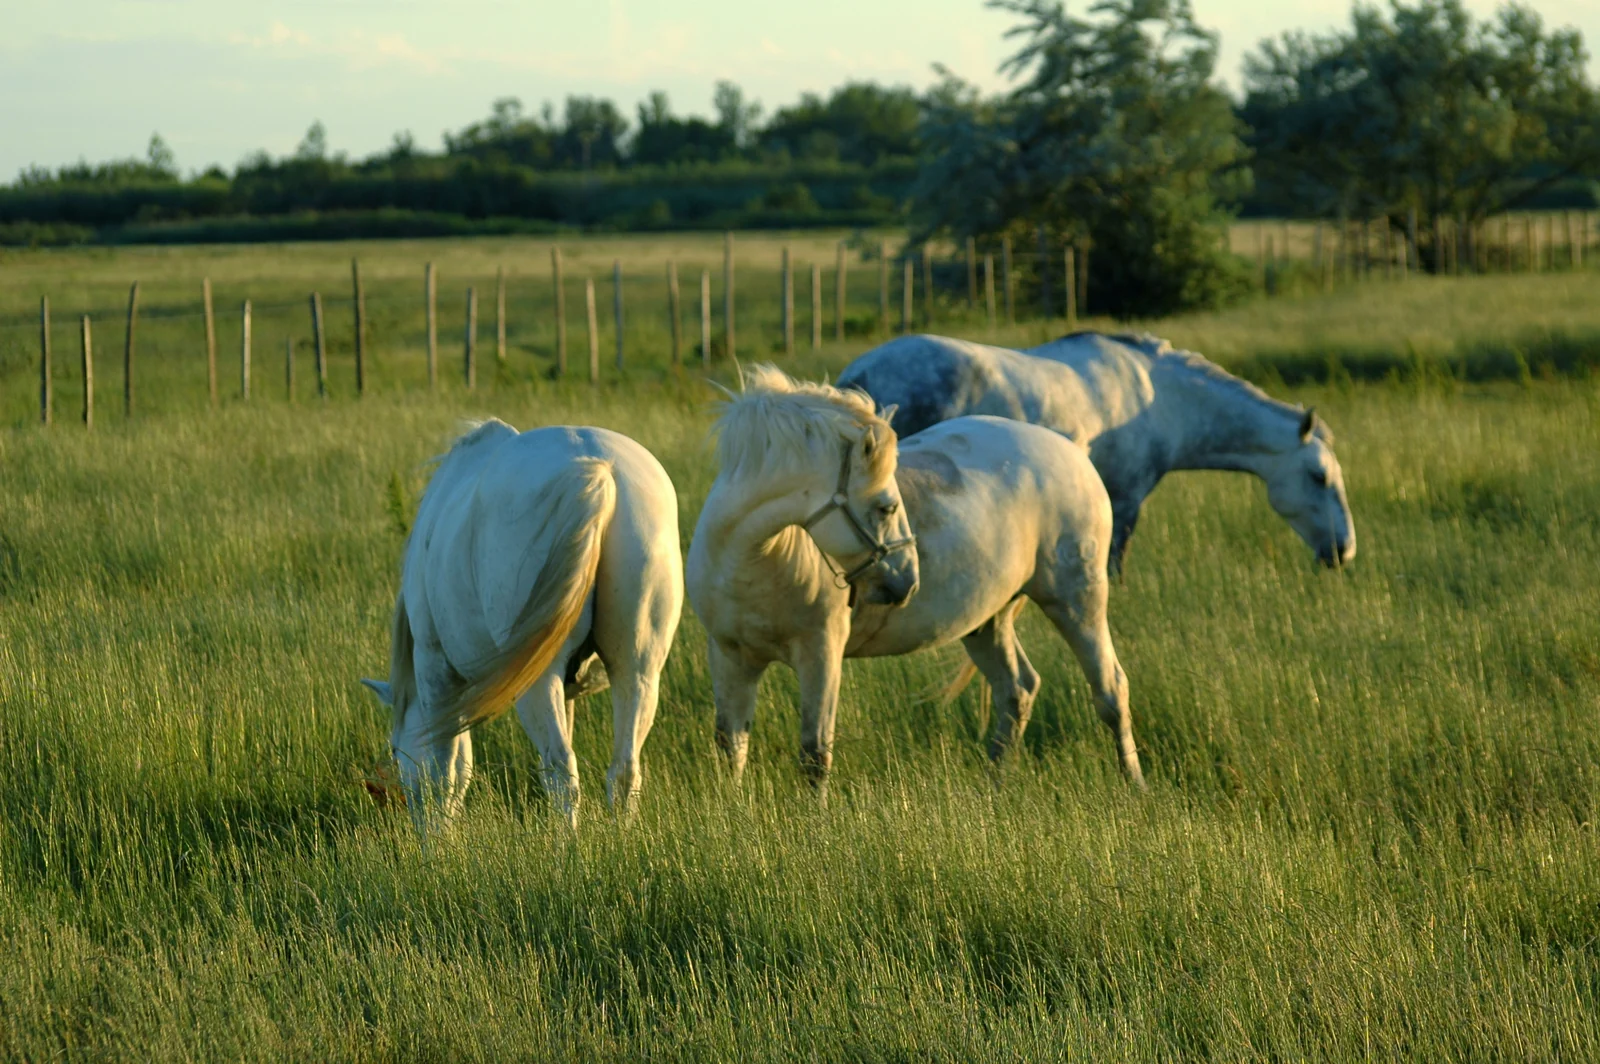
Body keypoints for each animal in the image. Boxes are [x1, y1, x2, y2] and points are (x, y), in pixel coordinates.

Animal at [361, 420, 683, 831]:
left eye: (394, 748)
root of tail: (599, 471)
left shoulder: (434, 669)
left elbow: (443, 769)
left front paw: (440, 839)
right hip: (638, 669)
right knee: (624, 770)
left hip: (537, 681)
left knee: (561, 770)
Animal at [687, 367, 1143, 792]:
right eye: (887, 507)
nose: (908, 580)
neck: (750, 563)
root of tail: (1072, 453)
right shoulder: (730, 657)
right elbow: (730, 747)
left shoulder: (820, 654)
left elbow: (815, 755)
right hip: (986, 622)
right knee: (1018, 690)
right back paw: (994, 787)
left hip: (1077, 603)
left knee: (1111, 690)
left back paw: (1134, 783)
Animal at [836, 330, 1356, 573]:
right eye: (1320, 477)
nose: (1344, 551)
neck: (1160, 398)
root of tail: (858, 373)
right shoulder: (1124, 500)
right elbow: (1115, 562)